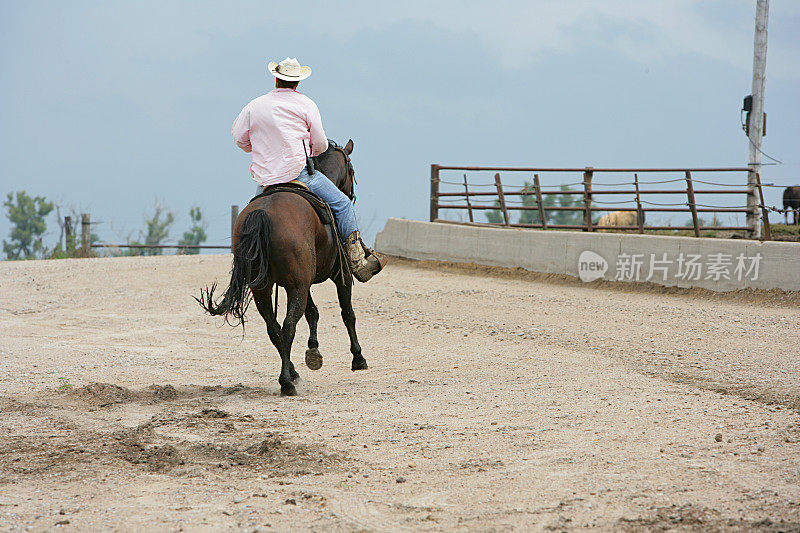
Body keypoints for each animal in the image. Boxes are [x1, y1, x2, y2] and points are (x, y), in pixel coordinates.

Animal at [198, 139, 368, 396]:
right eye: (352, 170)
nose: (351, 194)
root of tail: (263, 213)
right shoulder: (341, 275)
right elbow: (347, 313)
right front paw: (358, 358)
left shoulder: (303, 281)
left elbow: (312, 312)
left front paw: (313, 351)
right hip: (295, 286)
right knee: (288, 326)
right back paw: (286, 382)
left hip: (265, 289)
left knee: (274, 328)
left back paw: (292, 372)